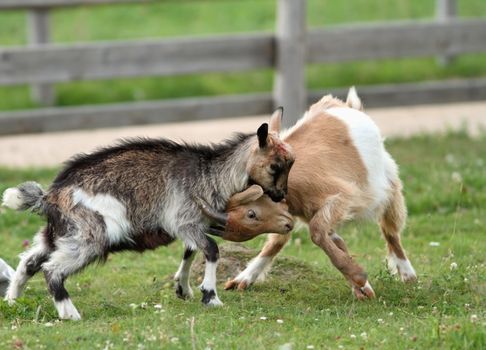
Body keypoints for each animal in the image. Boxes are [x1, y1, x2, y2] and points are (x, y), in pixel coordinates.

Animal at [204, 87, 414, 298]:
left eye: (251, 214)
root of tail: (349, 107)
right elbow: (328, 239)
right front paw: (362, 287)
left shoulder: (343, 196)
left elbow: (317, 231)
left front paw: (359, 279)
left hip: (387, 184)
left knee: (390, 230)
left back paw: (408, 275)